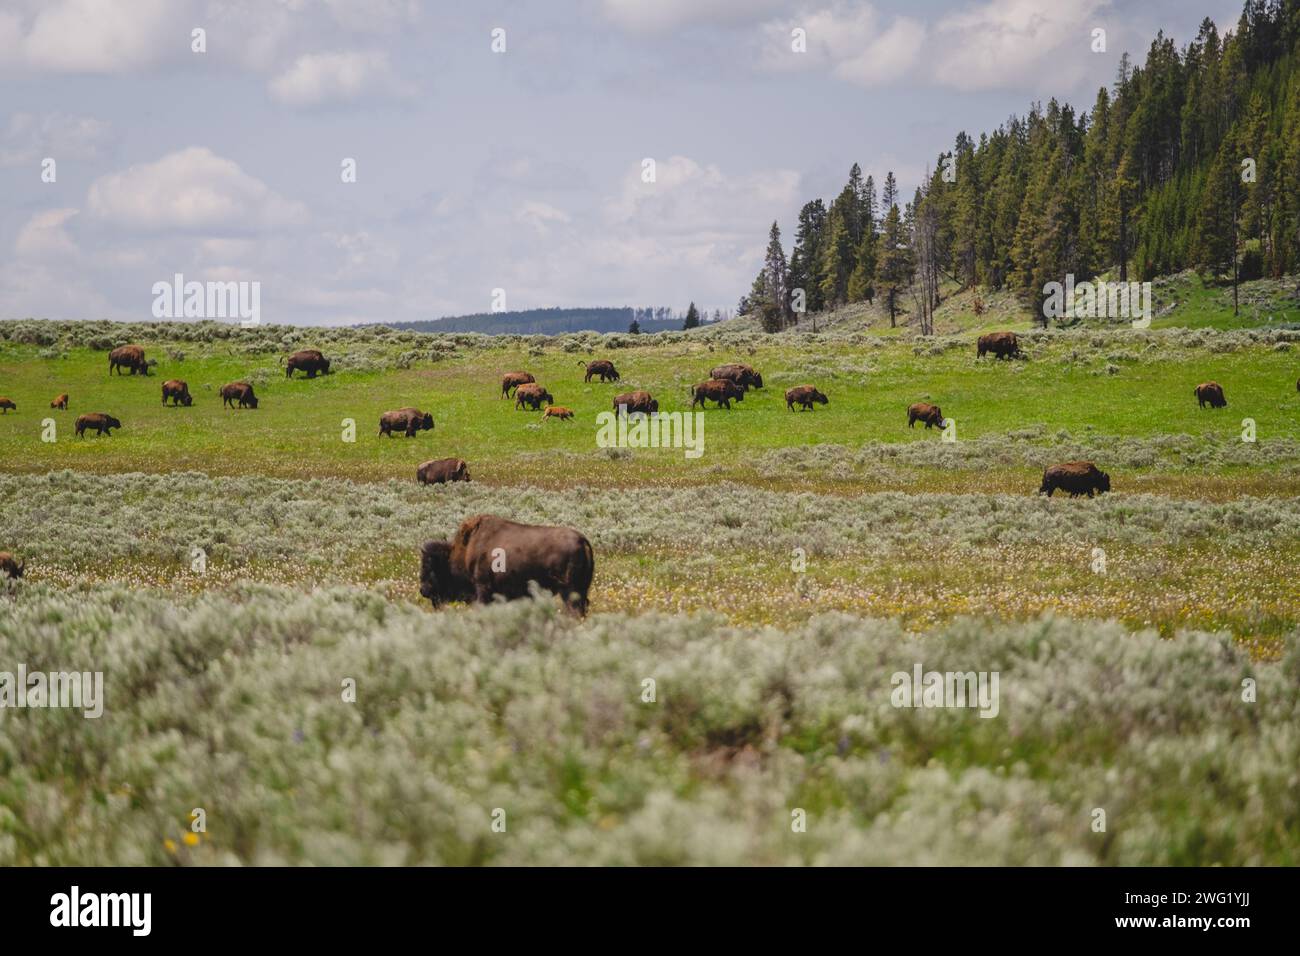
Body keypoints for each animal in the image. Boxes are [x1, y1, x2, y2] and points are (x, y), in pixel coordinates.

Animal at [421, 512, 595, 616]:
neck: (464, 551)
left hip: (569, 590)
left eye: (429, 566)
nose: (423, 590)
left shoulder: (482, 587)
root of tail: (582, 540)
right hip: (582, 589)